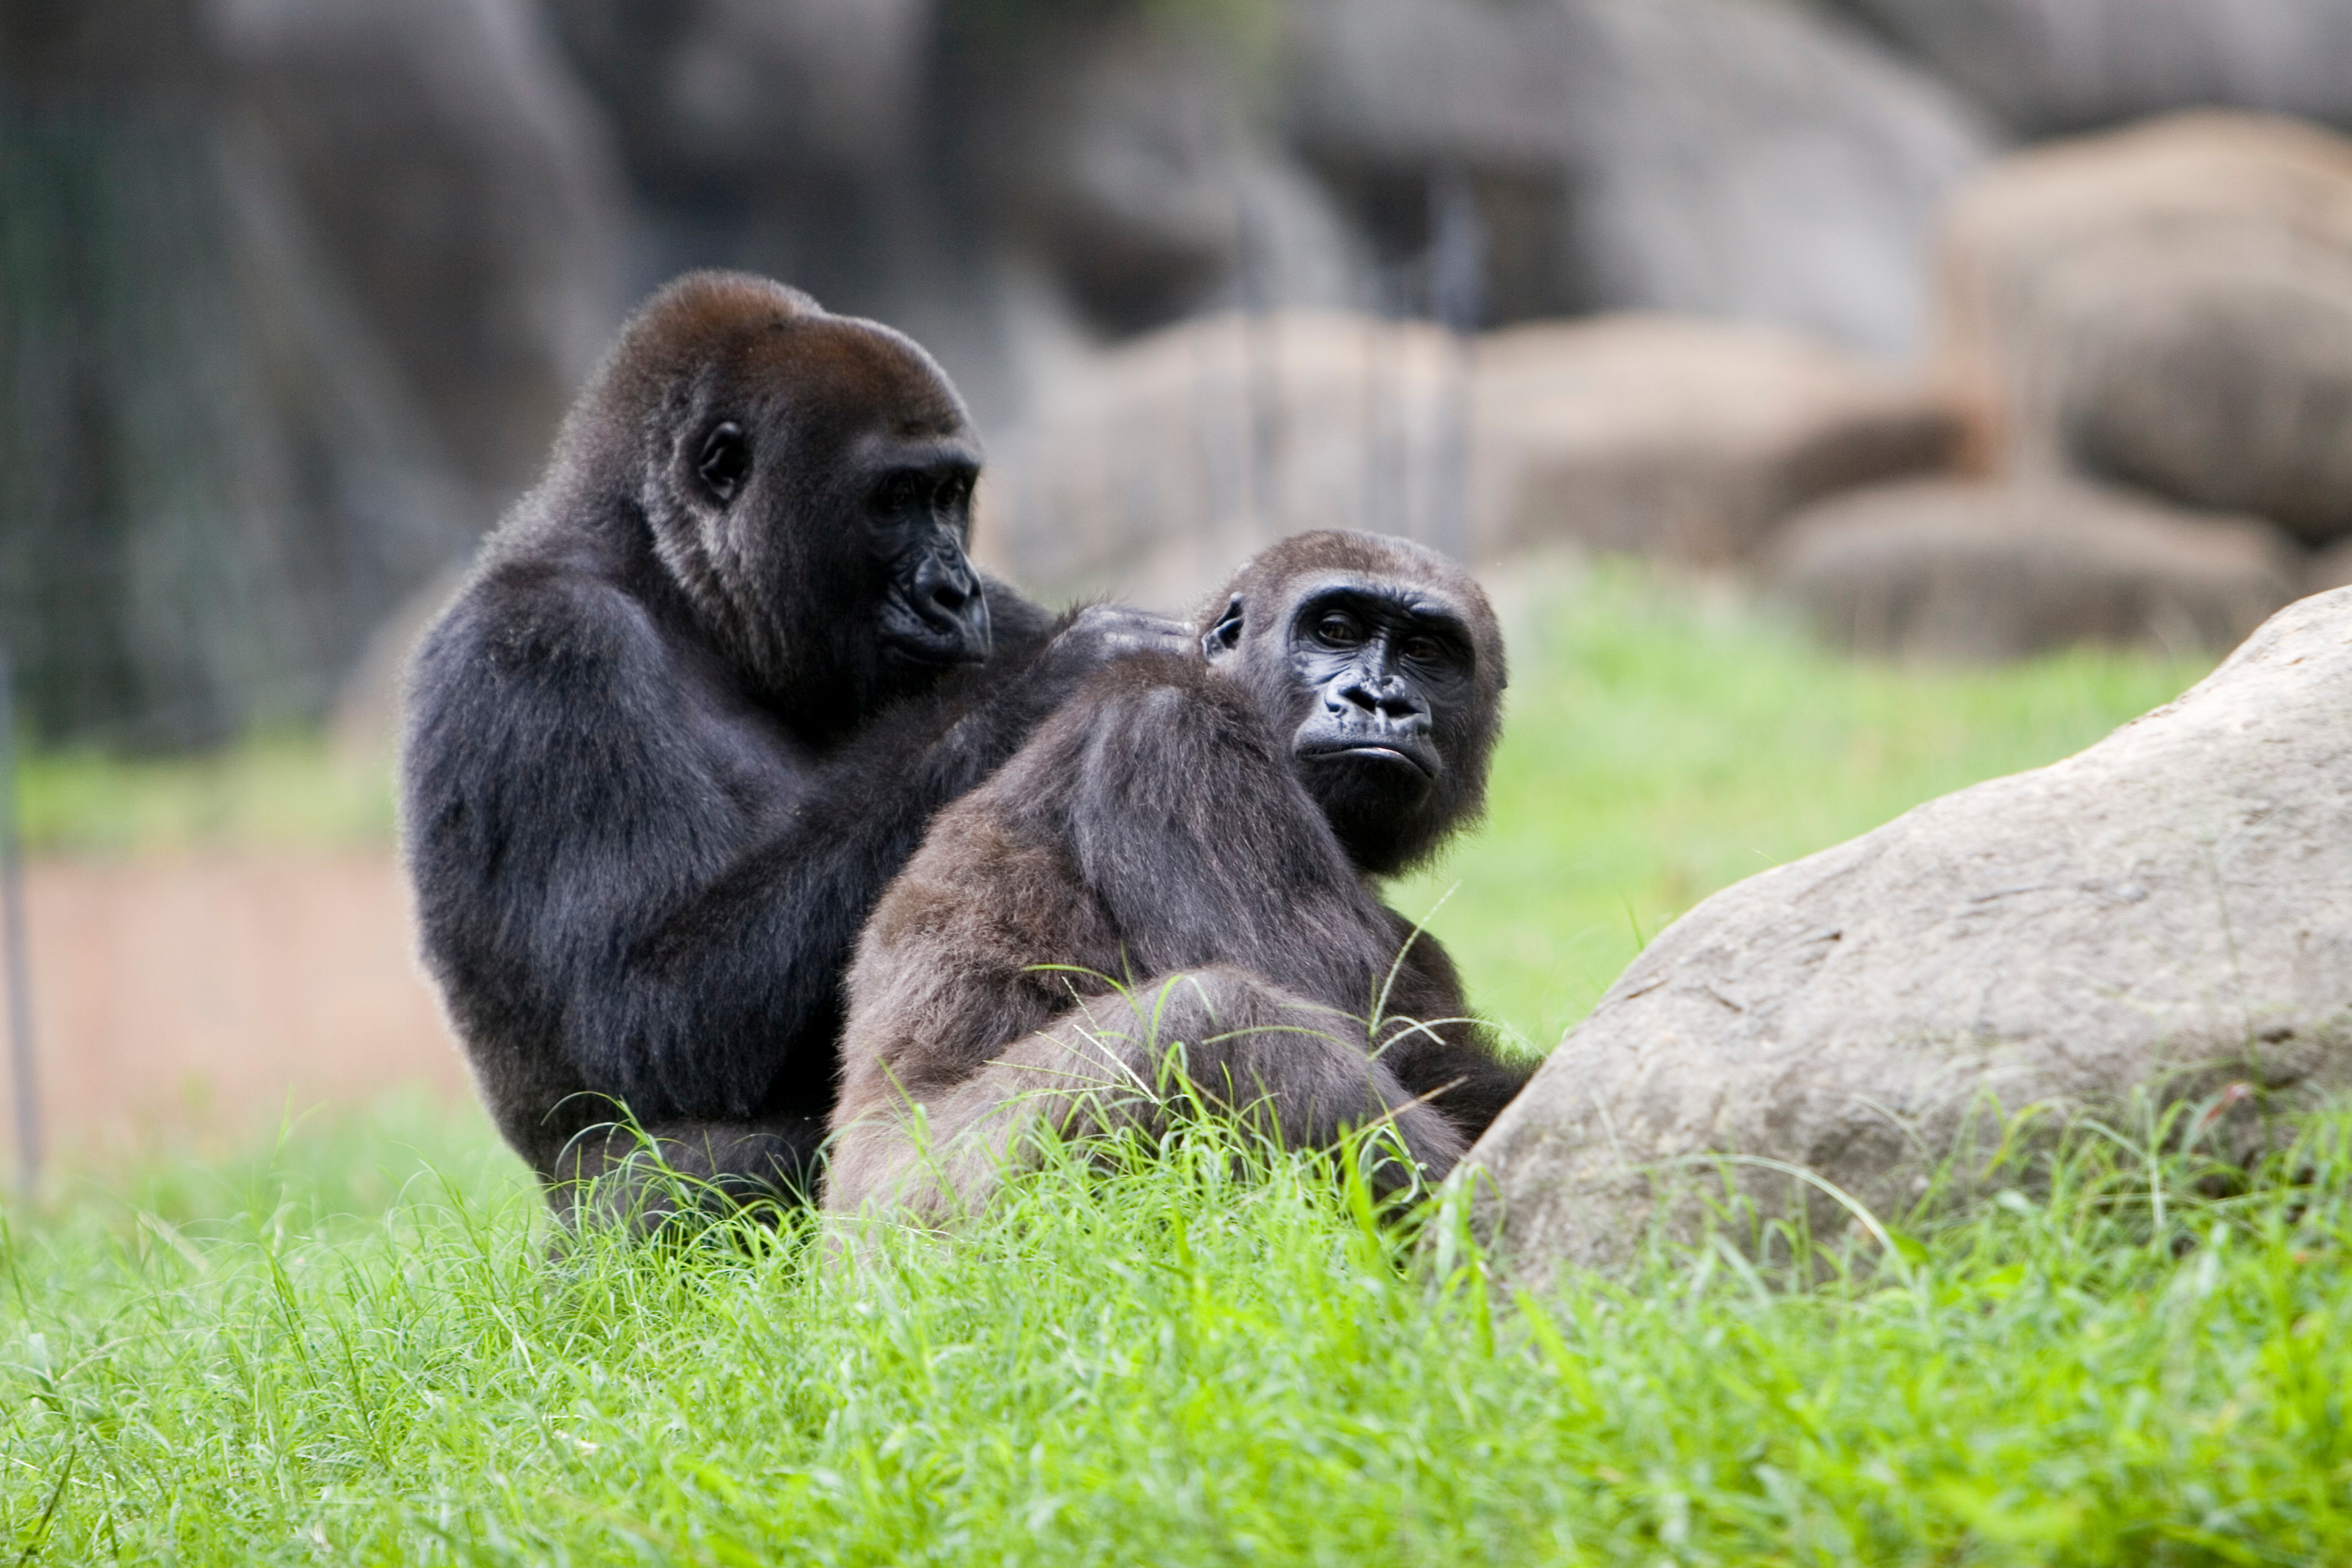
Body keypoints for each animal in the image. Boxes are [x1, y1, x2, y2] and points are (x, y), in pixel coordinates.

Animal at [400, 270, 1188, 1230]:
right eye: (894, 499)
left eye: (950, 493)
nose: (954, 592)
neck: (675, 583)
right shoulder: (543, 649)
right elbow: (642, 1008)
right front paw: (1059, 673)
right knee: (690, 1170)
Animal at [823, 530, 1534, 1221]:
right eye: (1334, 631)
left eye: (1424, 651)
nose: (1378, 700)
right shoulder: (1174, 730)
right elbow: (1375, 1035)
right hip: (919, 1218)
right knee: (1209, 1018)